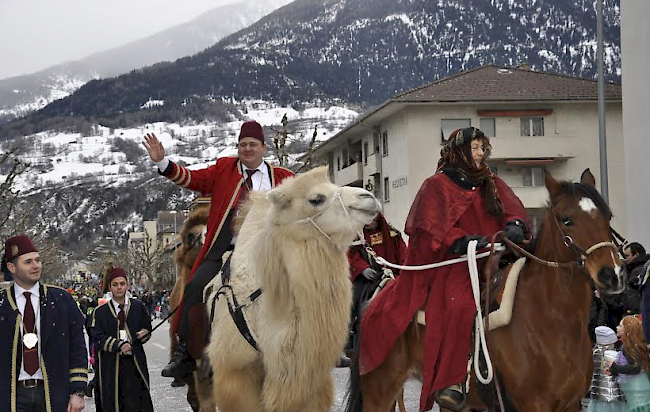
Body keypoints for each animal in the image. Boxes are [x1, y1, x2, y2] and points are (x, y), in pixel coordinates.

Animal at [346, 168, 624, 412]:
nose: (612, 275)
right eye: (567, 220)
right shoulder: (533, 404)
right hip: (380, 390)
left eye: (608, 216)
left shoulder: (570, 404)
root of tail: (379, 295)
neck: (552, 319)